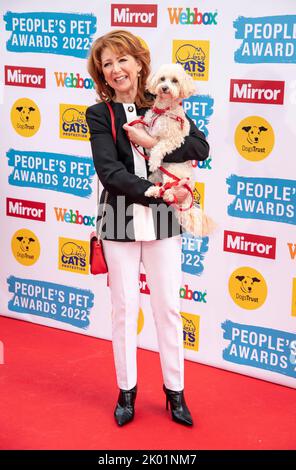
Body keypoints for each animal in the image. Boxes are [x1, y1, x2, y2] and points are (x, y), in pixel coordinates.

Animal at [142, 63, 214, 239]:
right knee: (160, 187)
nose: (165, 88)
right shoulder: (149, 128)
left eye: (175, 81)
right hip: (157, 176)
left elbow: (159, 147)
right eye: (162, 79)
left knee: (170, 191)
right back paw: (153, 191)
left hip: (173, 172)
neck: (164, 111)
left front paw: (153, 161)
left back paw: (167, 194)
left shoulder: (174, 139)